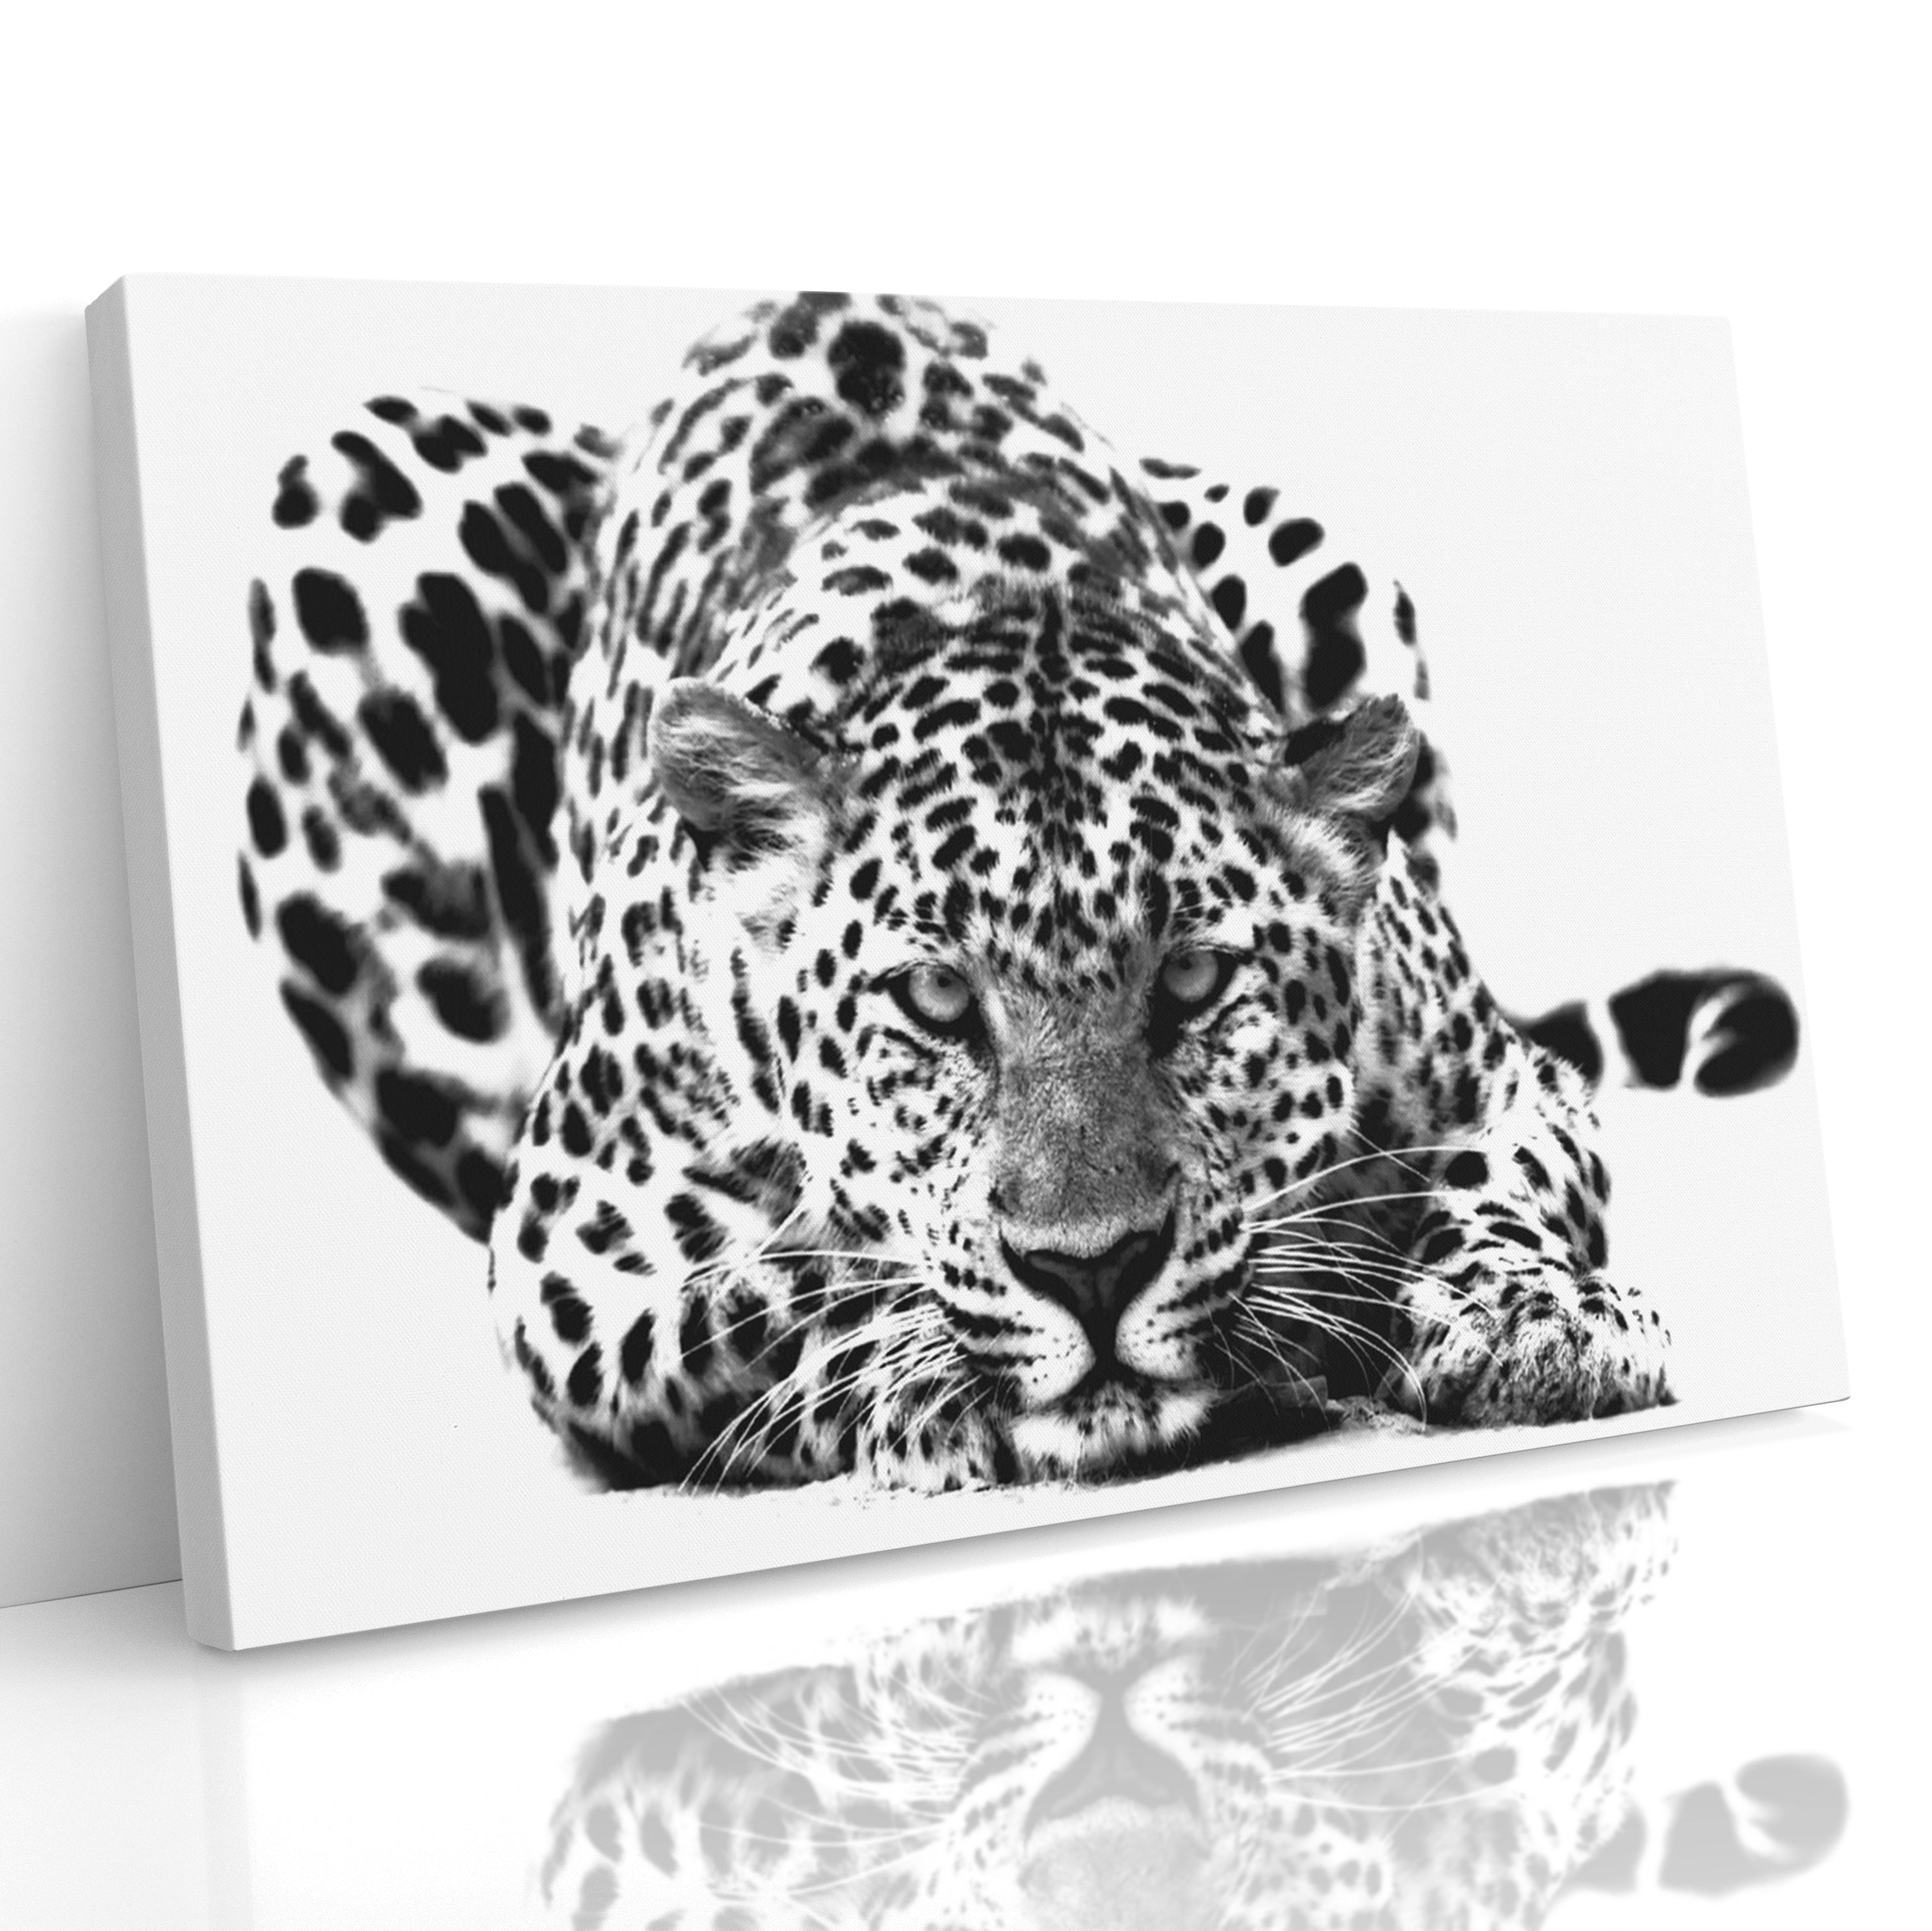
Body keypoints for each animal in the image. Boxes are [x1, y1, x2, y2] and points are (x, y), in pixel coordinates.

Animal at [235, 291, 1801, 1490]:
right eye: (936, 1001)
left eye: (1193, 980)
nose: (1093, 1272)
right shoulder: (568, 1258)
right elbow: (756, 1305)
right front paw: (919, 1370)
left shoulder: (1500, 1078)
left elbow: (1501, 1186)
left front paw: (1539, 1316)